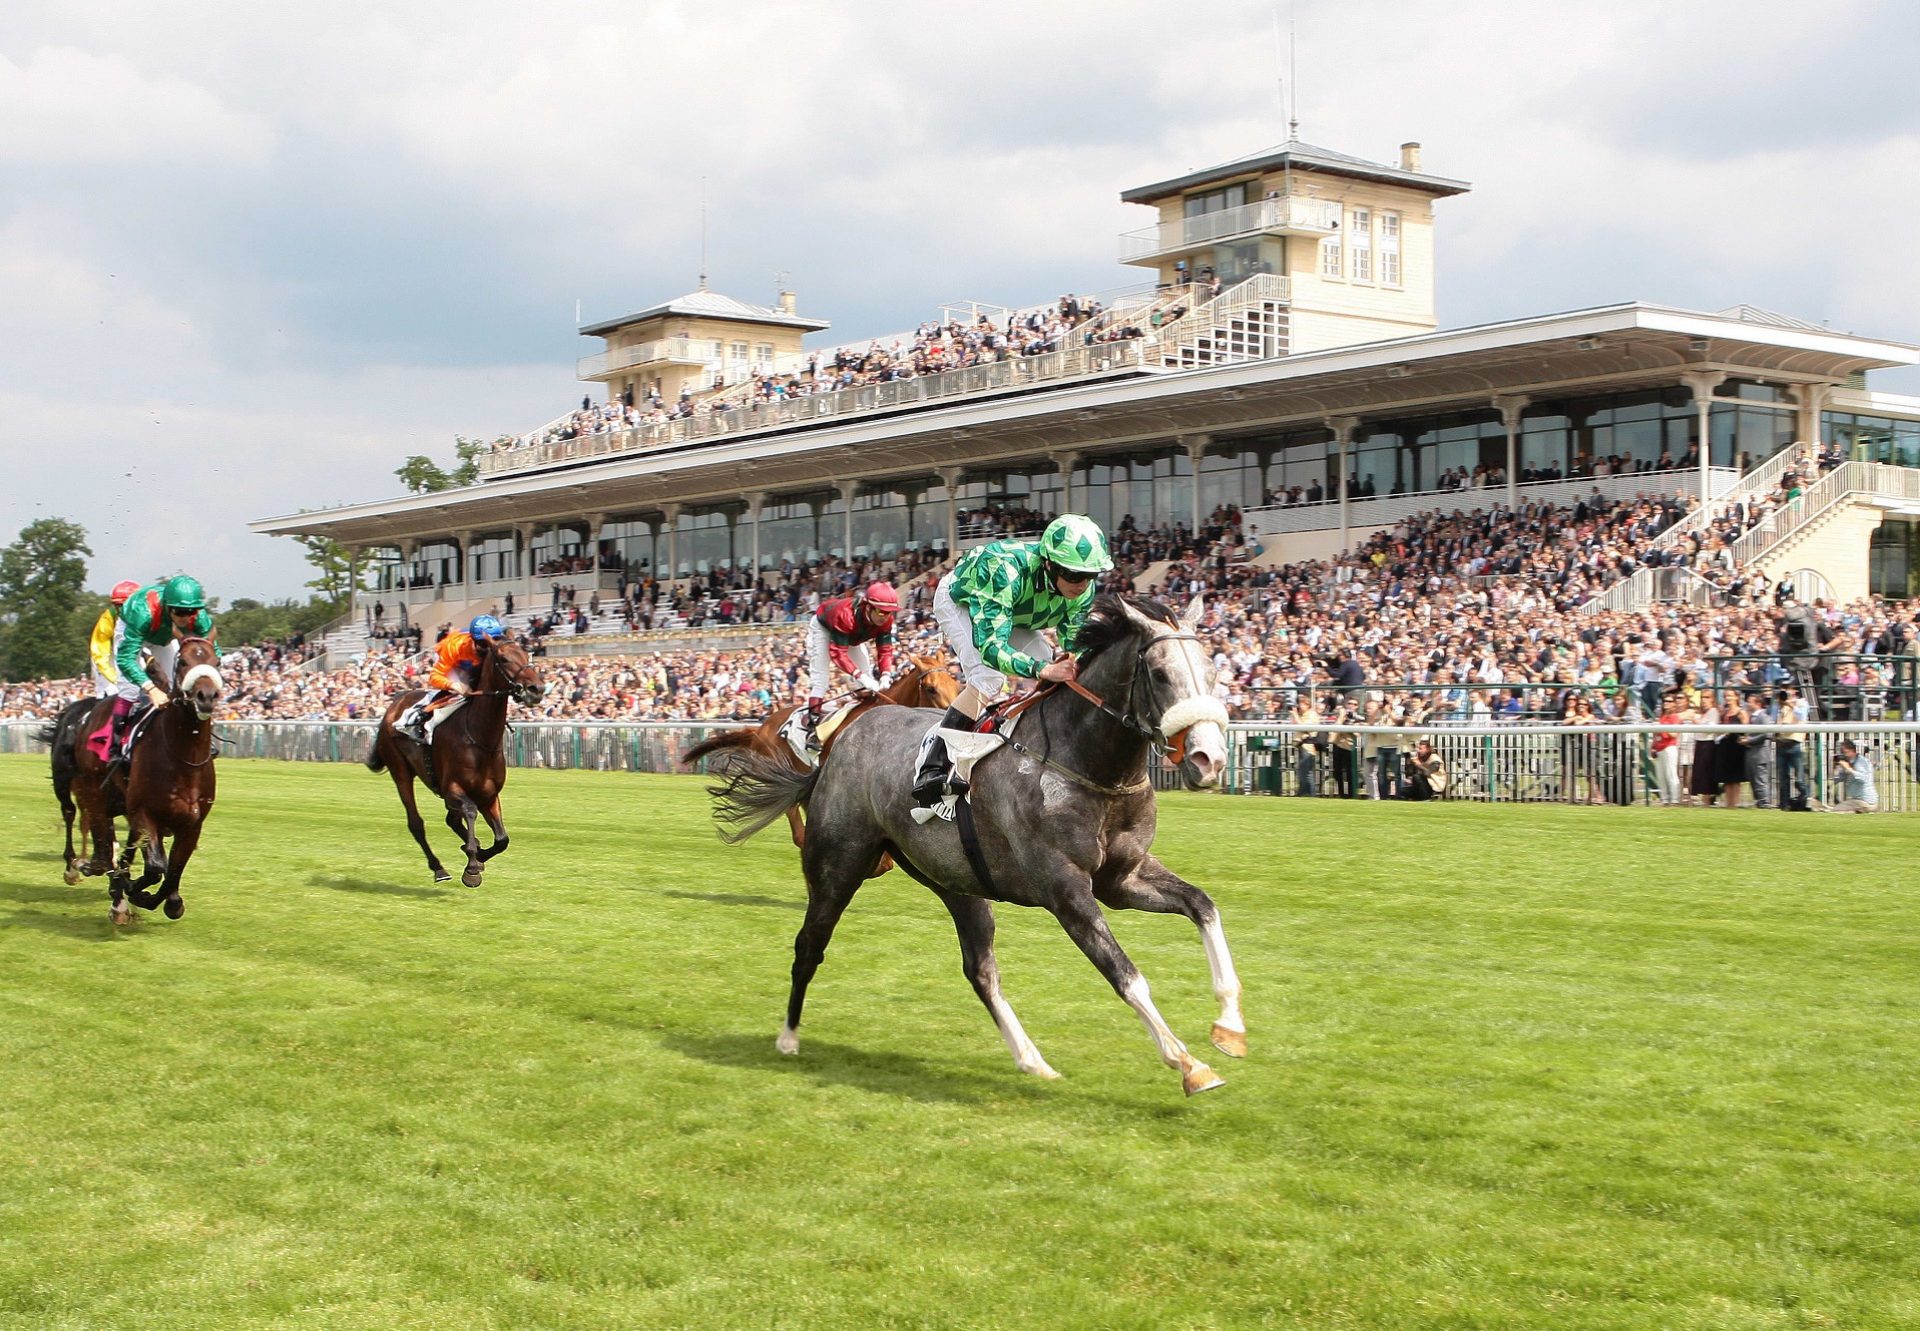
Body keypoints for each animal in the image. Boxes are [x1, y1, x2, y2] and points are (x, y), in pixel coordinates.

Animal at [68, 633, 222, 925]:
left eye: (217, 661)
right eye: (183, 662)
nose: (206, 696)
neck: (183, 758)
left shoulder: (192, 825)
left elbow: (173, 872)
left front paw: (167, 900)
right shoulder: (143, 813)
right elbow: (155, 867)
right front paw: (133, 888)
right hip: (95, 792)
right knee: (102, 835)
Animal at [360, 629, 545, 883]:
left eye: (527, 654)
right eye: (504, 658)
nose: (537, 689)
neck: (480, 737)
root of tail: (394, 705)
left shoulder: (489, 794)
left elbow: (502, 839)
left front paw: (478, 854)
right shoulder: (452, 789)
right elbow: (470, 811)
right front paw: (472, 867)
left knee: (452, 820)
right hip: (400, 771)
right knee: (416, 822)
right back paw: (439, 868)